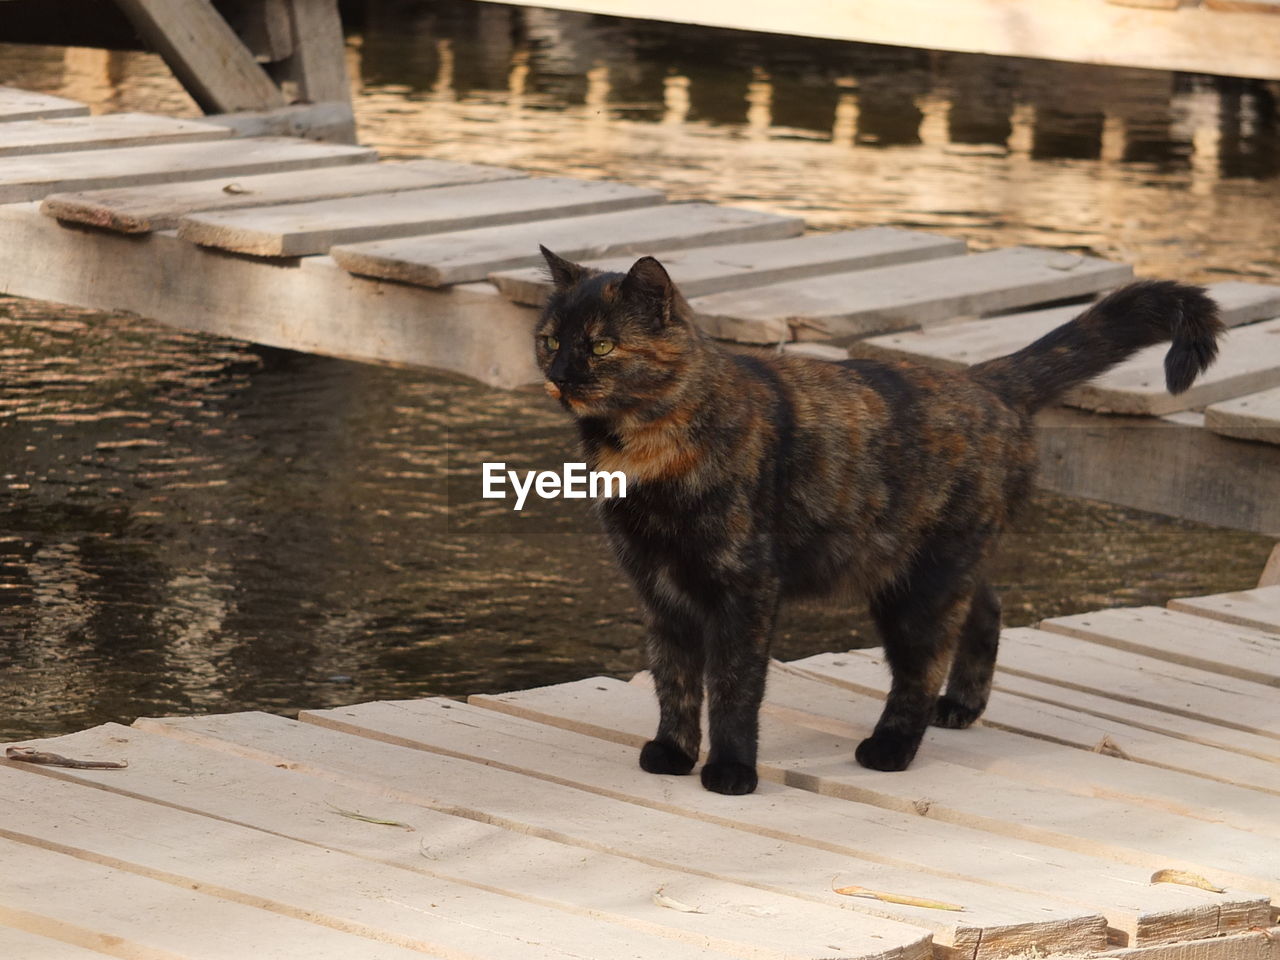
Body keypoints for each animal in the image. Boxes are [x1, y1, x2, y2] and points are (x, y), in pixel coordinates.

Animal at [529, 245, 1218, 798]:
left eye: (601, 345)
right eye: (550, 340)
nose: (558, 375)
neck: (641, 453)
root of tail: (988, 382)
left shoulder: (744, 589)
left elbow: (732, 686)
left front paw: (730, 772)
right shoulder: (658, 589)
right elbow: (673, 678)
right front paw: (673, 752)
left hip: (915, 588)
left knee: (922, 665)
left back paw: (890, 748)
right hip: (935, 565)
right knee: (987, 608)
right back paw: (961, 707)